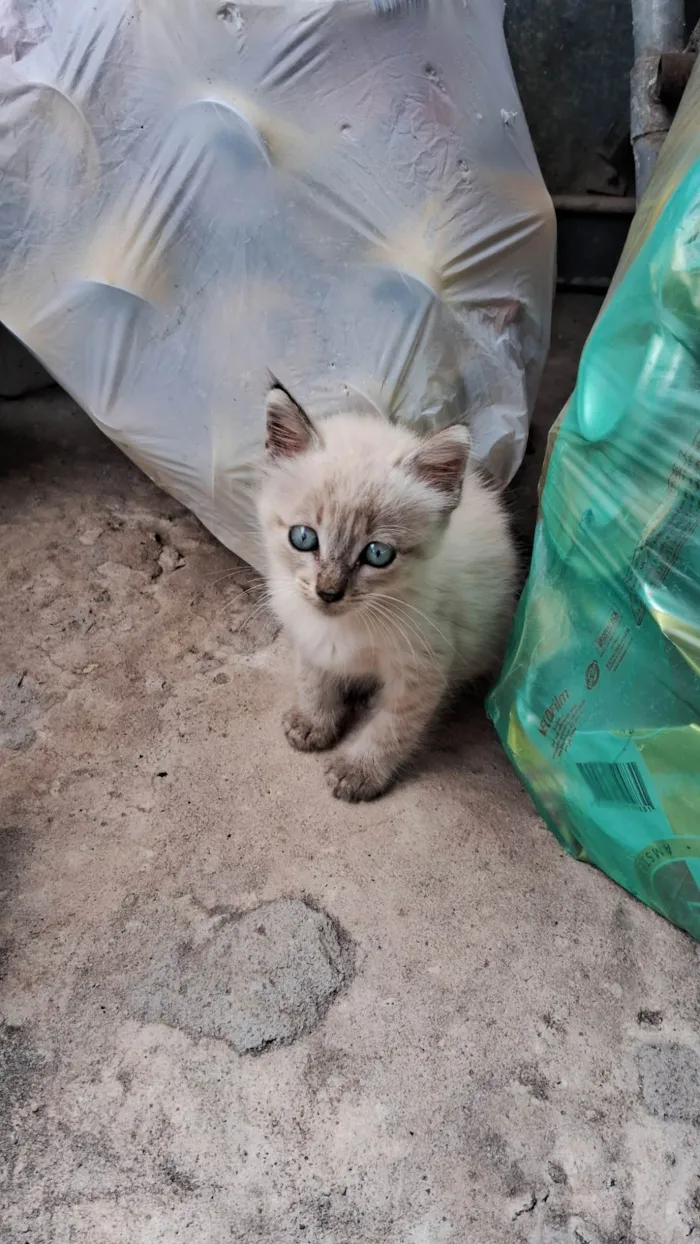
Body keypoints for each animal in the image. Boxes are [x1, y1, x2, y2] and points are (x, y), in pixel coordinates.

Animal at [259, 383, 517, 801]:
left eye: (378, 554)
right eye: (303, 537)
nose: (328, 592)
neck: (342, 626)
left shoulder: (423, 671)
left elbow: (390, 728)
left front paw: (358, 771)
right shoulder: (307, 637)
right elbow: (313, 680)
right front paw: (314, 721)